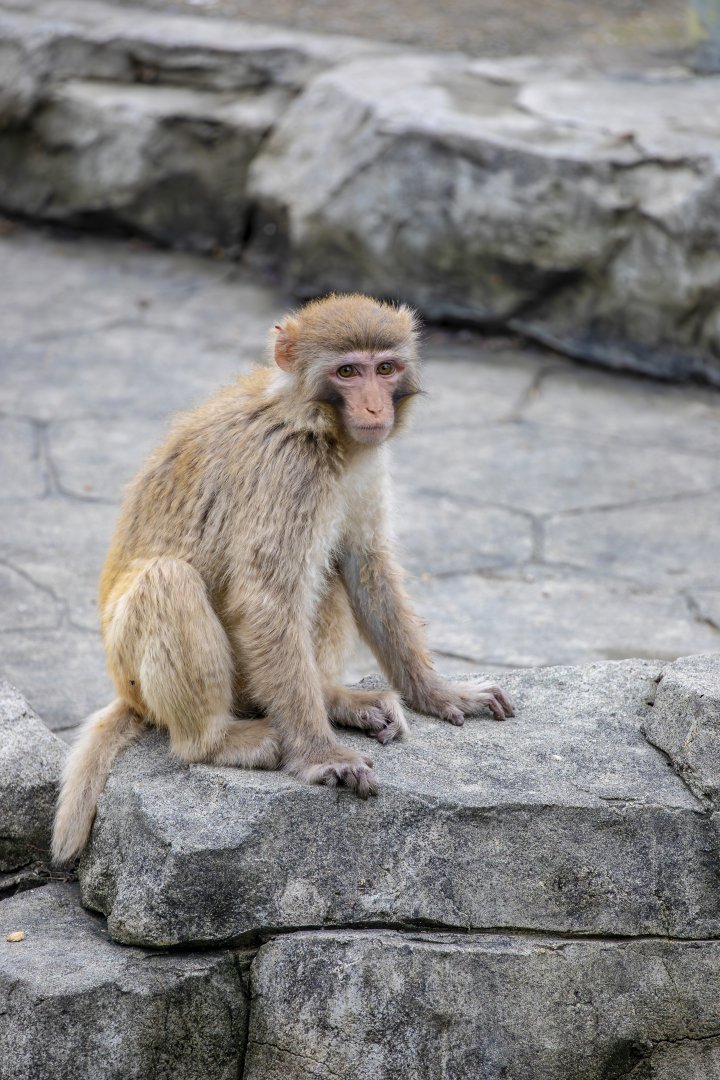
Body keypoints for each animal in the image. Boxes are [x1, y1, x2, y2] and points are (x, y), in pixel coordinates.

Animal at [51, 293, 513, 864]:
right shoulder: (289, 471)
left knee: (329, 568)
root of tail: (127, 694)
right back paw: (217, 741)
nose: (374, 408)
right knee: (170, 580)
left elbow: (364, 563)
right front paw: (319, 755)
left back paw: (334, 699)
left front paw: (438, 692)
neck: (316, 424)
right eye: (347, 371)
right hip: (138, 667)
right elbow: (267, 599)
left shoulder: (363, 463)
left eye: (384, 369)